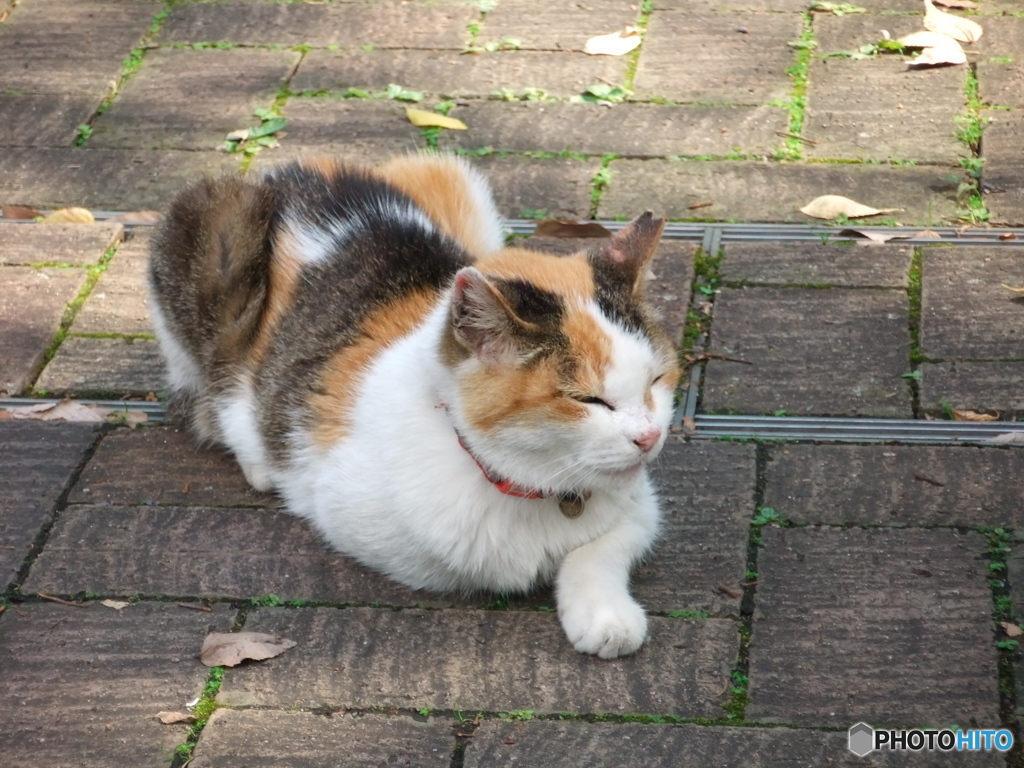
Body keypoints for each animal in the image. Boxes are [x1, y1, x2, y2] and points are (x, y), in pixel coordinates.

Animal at [149, 153, 679, 659]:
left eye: (656, 380)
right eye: (589, 400)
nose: (650, 437)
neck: (529, 487)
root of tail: (290, 172)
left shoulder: (640, 505)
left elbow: (602, 547)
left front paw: (605, 616)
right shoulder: (340, 508)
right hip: (215, 232)